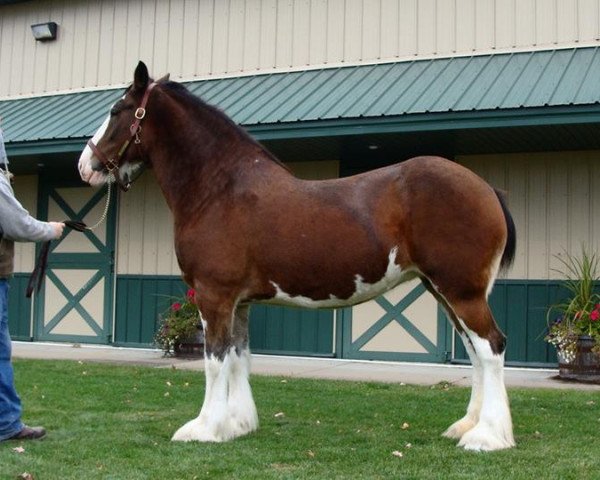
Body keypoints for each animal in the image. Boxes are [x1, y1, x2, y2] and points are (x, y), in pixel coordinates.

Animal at [78, 62, 516, 452]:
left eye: (117, 110)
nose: (85, 165)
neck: (219, 190)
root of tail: (488, 189)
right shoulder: (239, 302)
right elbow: (238, 357)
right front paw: (237, 425)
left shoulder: (213, 295)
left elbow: (214, 360)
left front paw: (204, 428)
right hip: (445, 292)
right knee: (475, 352)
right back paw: (466, 427)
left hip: (461, 292)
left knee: (491, 347)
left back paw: (487, 437)